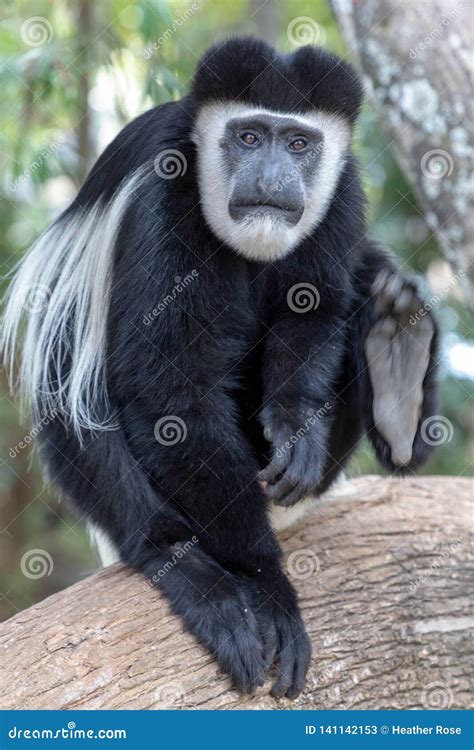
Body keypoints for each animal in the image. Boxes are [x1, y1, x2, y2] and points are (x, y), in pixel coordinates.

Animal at [2, 37, 438, 698]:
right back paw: (193, 575)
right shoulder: (165, 195)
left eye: (299, 143)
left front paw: (298, 436)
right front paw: (268, 589)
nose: (272, 179)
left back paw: (399, 371)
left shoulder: (341, 190)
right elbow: (170, 398)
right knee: (83, 420)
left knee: (367, 277)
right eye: (250, 137)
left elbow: (315, 307)